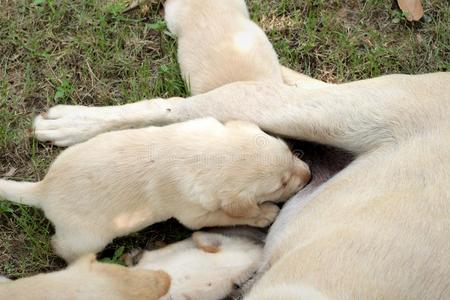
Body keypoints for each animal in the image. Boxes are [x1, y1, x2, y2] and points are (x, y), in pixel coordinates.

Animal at [0, 117, 310, 262]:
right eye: (280, 184)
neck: (199, 154)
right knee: (63, 247)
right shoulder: (194, 214)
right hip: (87, 238)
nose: (309, 175)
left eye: (287, 150)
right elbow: (227, 215)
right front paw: (264, 213)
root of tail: (43, 189)